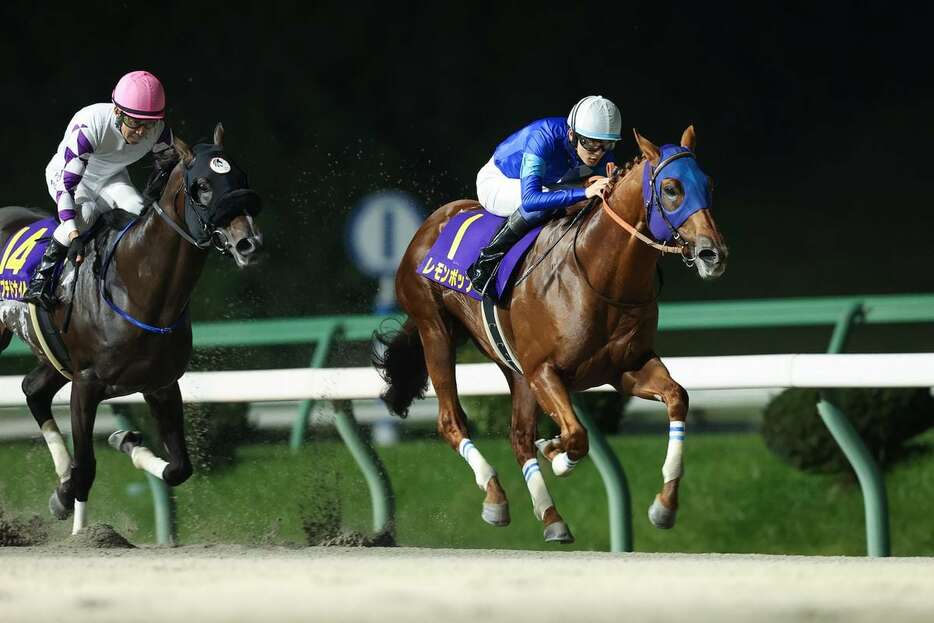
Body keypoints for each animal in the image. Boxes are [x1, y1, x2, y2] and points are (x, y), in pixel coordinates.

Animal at [0, 125, 262, 536]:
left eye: (241, 177)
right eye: (202, 185)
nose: (248, 242)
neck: (138, 286)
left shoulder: (161, 384)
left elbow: (179, 468)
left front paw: (125, 442)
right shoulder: (87, 384)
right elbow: (87, 468)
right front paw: (80, 525)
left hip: (57, 358)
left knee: (32, 389)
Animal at [376, 125, 728, 540]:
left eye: (707, 183)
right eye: (672, 188)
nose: (713, 254)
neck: (600, 277)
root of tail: (430, 225)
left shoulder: (624, 368)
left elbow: (677, 397)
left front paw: (665, 505)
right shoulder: (544, 371)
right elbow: (577, 435)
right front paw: (557, 453)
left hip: (512, 366)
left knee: (519, 437)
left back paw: (550, 516)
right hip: (436, 330)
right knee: (451, 421)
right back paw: (495, 493)